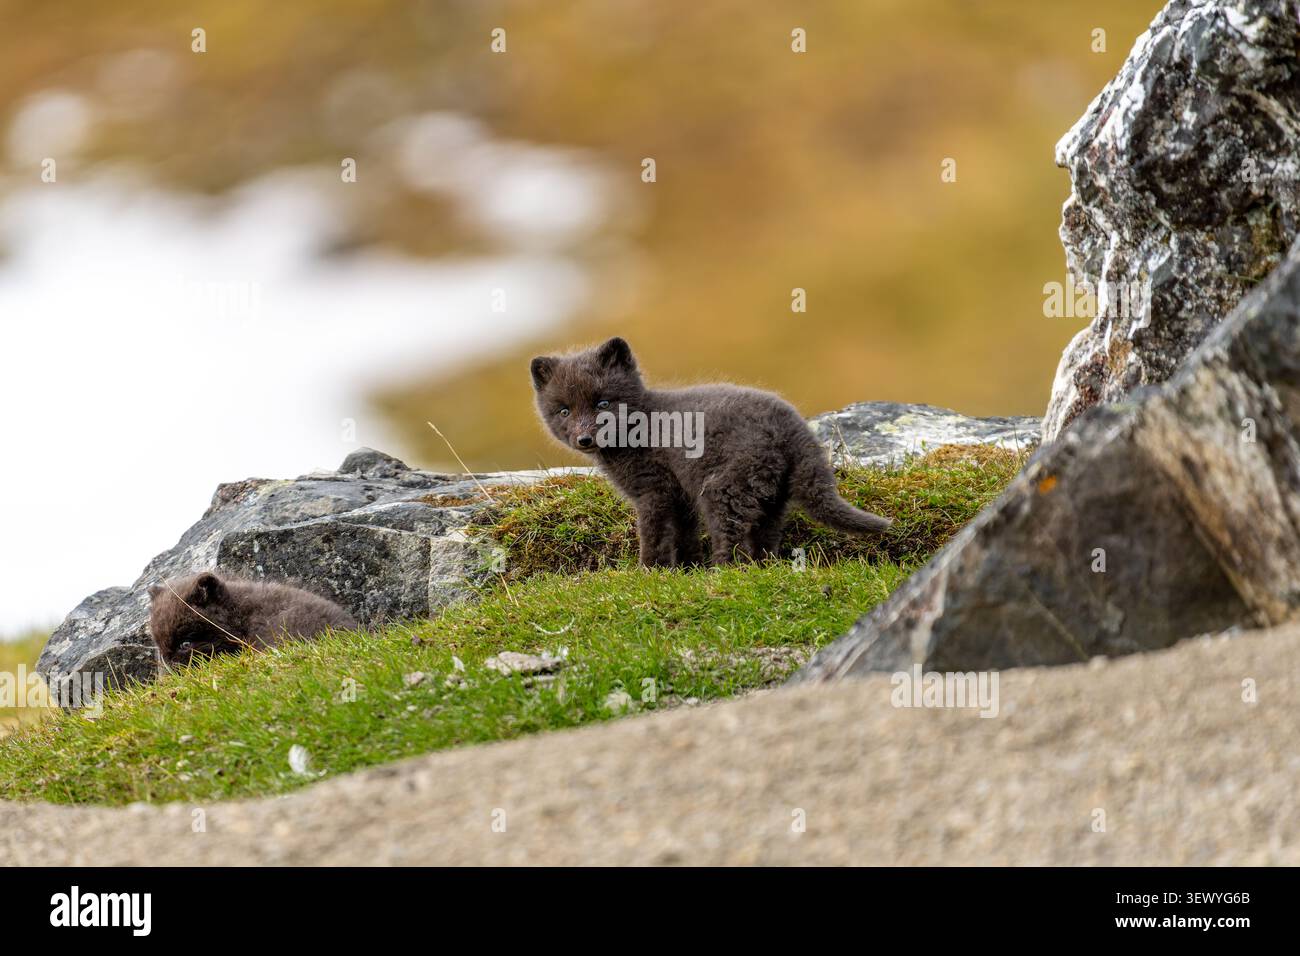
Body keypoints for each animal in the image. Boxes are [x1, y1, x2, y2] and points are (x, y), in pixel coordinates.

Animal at [530, 336, 892, 567]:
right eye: (564, 411)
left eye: (603, 403)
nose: (584, 439)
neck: (643, 424)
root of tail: (792, 424)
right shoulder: (681, 495)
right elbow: (684, 534)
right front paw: (687, 568)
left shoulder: (655, 490)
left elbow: (654, 535)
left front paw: (649, 571)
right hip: (772, 494)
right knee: (764, 534)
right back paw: (761, 566)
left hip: (723, 487)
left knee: (732, 534)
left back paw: (722, 571)